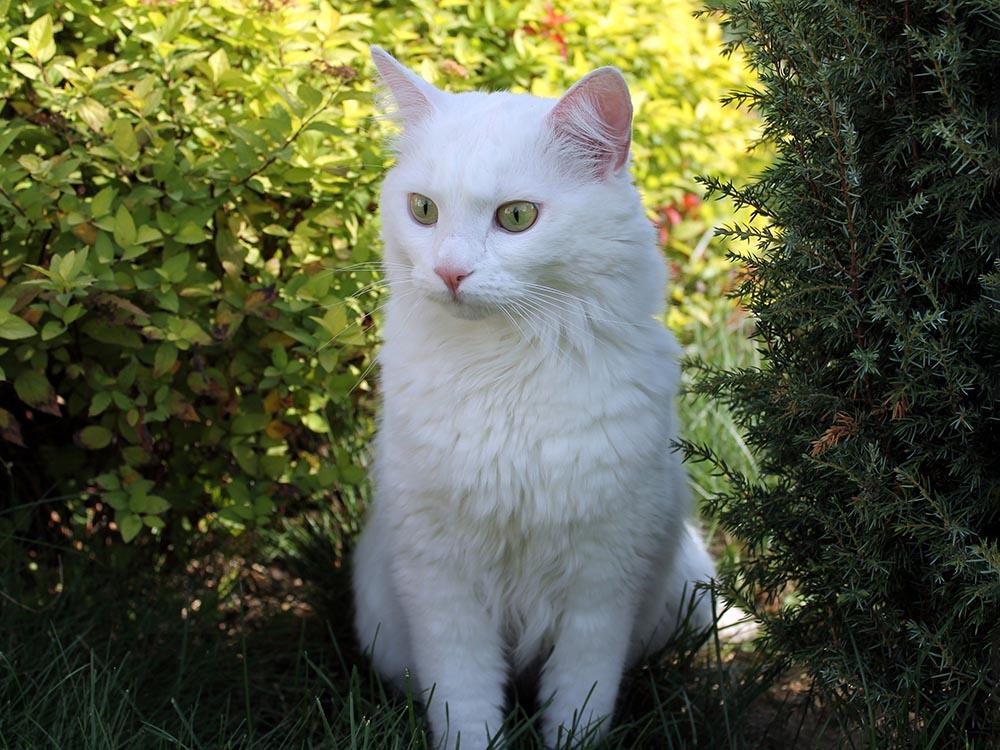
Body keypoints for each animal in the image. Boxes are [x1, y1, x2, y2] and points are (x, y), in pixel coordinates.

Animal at [352, 47, 720, 750]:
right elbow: (465, 702)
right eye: (423, 210)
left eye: (517, 217)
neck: (505, 368)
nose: (449, 272)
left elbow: (580, 702)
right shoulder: (440, 582)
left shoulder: (603, 584)